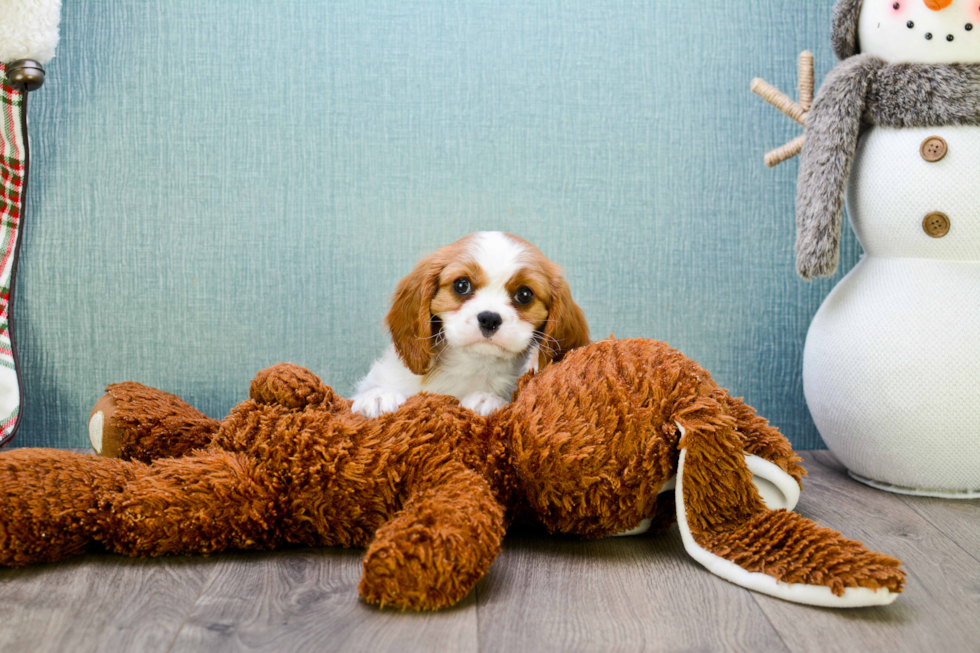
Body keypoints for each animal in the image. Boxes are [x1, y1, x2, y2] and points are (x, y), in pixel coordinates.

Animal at [356, 233, 592, 418]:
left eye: (525, 294)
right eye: (461, 285)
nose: (489, 318)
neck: (469, 365)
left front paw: (485, 399)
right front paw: (377, 396)